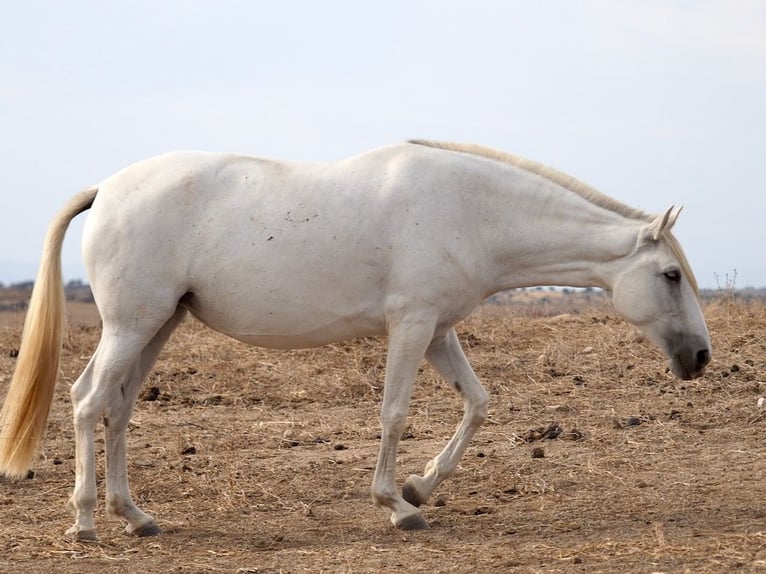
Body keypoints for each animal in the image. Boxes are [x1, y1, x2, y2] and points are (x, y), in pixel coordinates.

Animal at [0, 140, 712, 540]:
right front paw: (398, 506)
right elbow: (394, 413)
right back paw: (87, 521)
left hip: (157, 326)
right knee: (89, 402)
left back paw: (135, 517)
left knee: (118, 409)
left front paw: (422, 487)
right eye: (671, 275)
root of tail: (107, 189)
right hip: (131, 326)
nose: (700, 357)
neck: (474, 211)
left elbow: (478, 404)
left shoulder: (438, 331)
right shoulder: (412, 325)